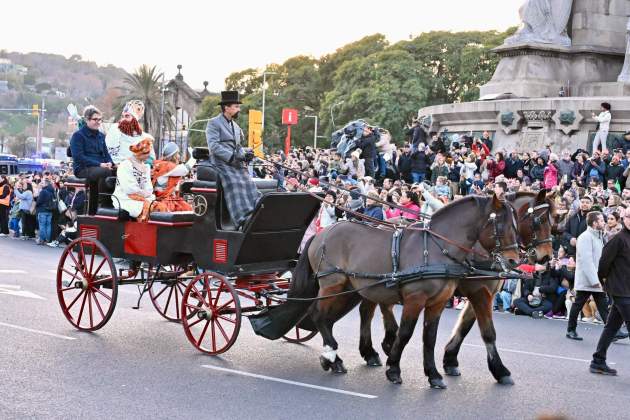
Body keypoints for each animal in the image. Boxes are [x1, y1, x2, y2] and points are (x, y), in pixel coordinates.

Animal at [288, 195, 520, 388]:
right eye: (501, 225)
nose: (514, 261)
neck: (435, 248)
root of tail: (322, 233)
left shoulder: (438, 303)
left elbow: (430, 337)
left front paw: (434, 374)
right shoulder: (416, 299)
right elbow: (406, 333)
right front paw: (393, 369)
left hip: (349, 288)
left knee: (332, 317)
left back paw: (337, 358)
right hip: (332, 284)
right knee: (318, 314)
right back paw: (332, 354)